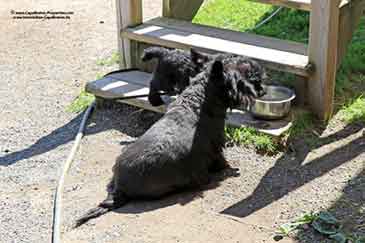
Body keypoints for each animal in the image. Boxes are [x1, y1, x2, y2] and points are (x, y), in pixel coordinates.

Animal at [75, 54, 266, 227]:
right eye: (239, 79)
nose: (261, 90)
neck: (199, 100)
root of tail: (120, 187)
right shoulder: (216, 143)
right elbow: (220, 158)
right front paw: (225, 168)